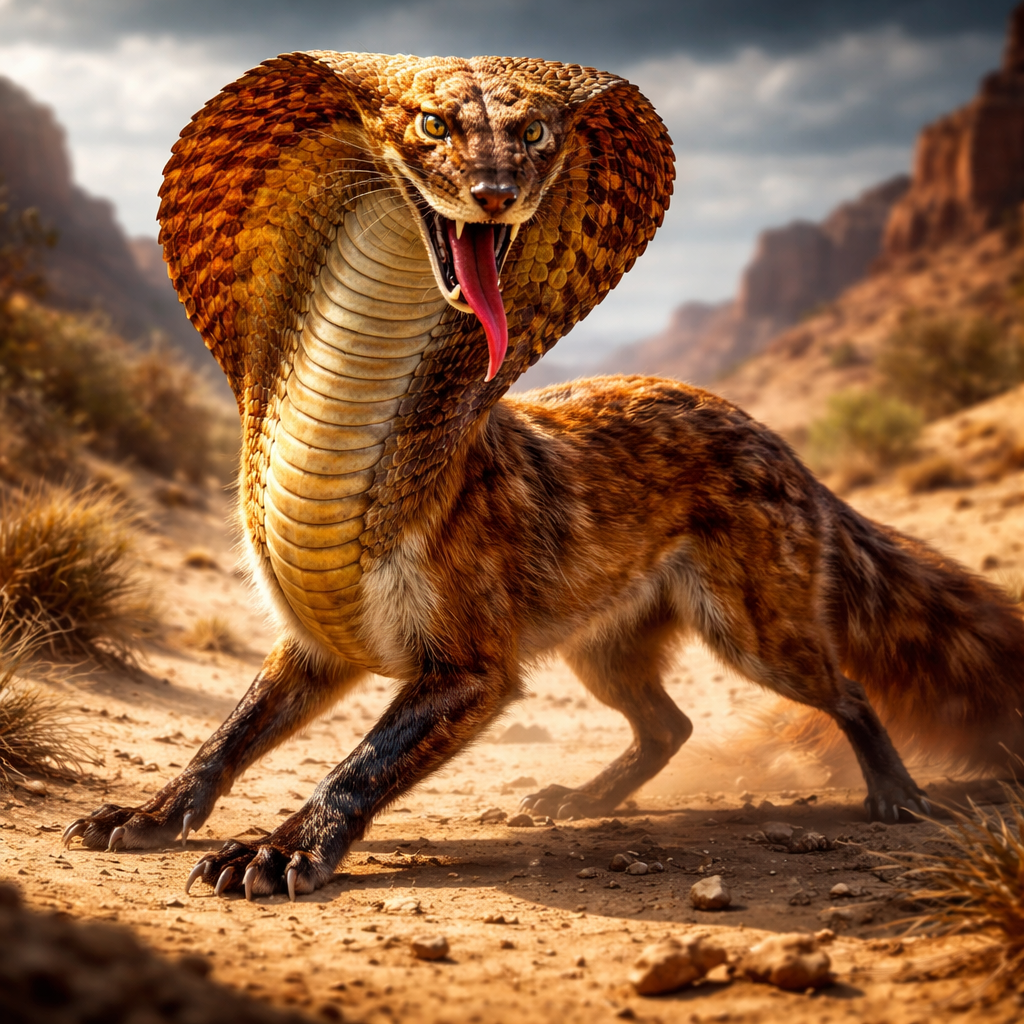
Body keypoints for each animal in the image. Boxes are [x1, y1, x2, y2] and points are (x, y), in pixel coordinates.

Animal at [62, 51, 1024, 901]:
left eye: (534, 136)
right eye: (433, 125)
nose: (498, 196)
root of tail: (780, 445)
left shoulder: (472, 669)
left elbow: (357, 766)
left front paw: (281, 848)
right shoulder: (316, 647)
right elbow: (222, 740)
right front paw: (148, 816)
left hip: (755, 640)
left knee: (847, 689)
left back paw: (895, 793)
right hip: (606, 650)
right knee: (670, 724)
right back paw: (584, 800)